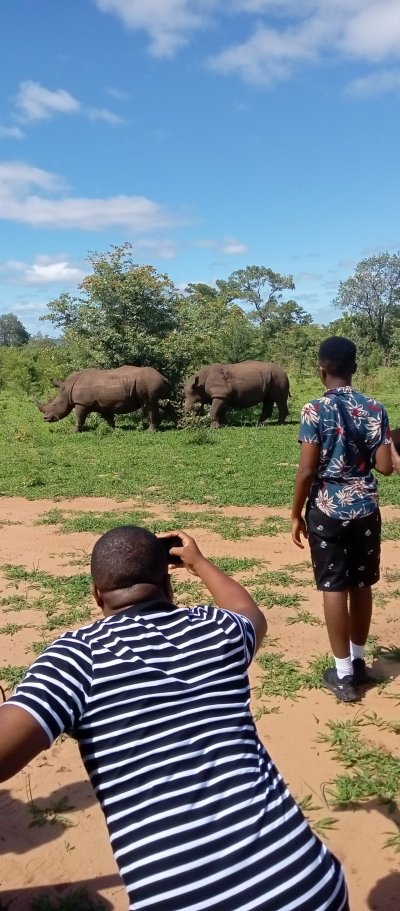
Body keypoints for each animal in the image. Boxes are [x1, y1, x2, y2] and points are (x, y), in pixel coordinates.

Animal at [37, 366, 174, 432]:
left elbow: (79, 417)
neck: (68, 388)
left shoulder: (82, 403)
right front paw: (112, 429)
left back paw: (149, 431)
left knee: (150, 404)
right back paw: (177, 425)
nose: (45, 418)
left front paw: (73, 431)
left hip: (149, 384)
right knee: (163, 403)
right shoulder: (103, 404)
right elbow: (109, 418)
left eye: (54, 405)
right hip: (155, 384)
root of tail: (161, 376)